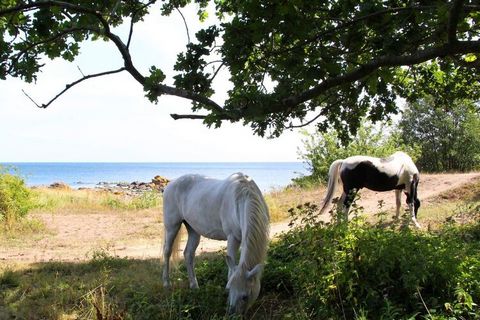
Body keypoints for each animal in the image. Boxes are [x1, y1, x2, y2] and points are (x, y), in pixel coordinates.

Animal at [162, 172, 270, 316]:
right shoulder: (233, 238)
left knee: (188, 254)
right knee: (167, 252)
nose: (231, 314)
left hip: (193, 229)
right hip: (172, 227)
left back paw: (194, 286)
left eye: (245, 296)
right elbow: (230, 268)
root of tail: (170, 184)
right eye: (229, 289)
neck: (243, 196)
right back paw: (167, 284)